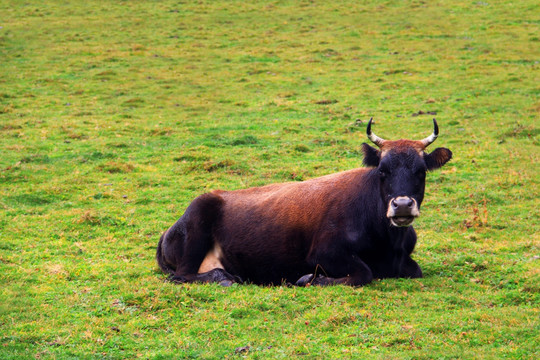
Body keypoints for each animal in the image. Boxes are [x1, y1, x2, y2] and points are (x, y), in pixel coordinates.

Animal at [156, 119, 452, 286]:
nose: (402, 205)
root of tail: (167, 231)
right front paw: (309, 278)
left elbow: (414, 270)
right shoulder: (324, 252)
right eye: (382, 171)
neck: (387, 242)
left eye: (421, 172)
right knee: (182, 275)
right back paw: (226, 279)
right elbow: (363, 274)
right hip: (197, 227)